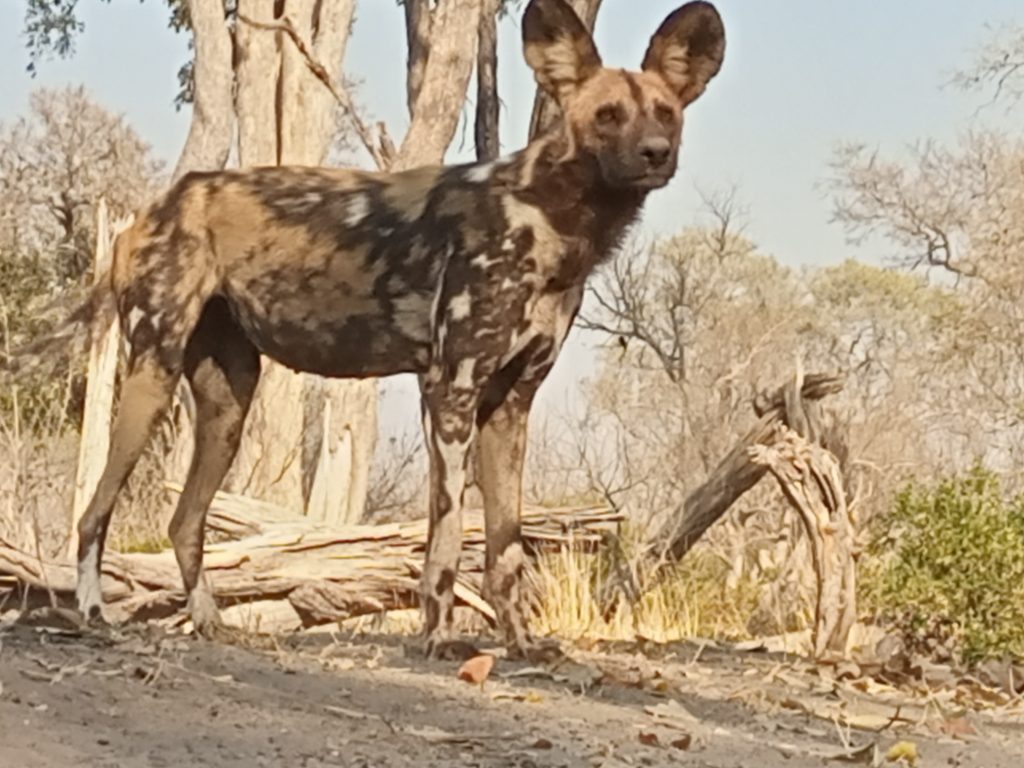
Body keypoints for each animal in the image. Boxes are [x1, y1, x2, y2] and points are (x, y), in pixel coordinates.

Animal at [58, 0, 729, 663]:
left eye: (665, 113)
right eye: (608, 116)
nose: (655, 152)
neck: (551, 219)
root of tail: (154, 208)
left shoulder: (509, 406)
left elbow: (506, 545)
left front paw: (518, 641)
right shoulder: (451, 391)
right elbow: (448, 536)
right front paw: (438, 637)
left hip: (229, 403)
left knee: (184, 521)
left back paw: (207, 621)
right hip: (152, 375)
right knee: (92, 512)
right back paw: (92, 614)